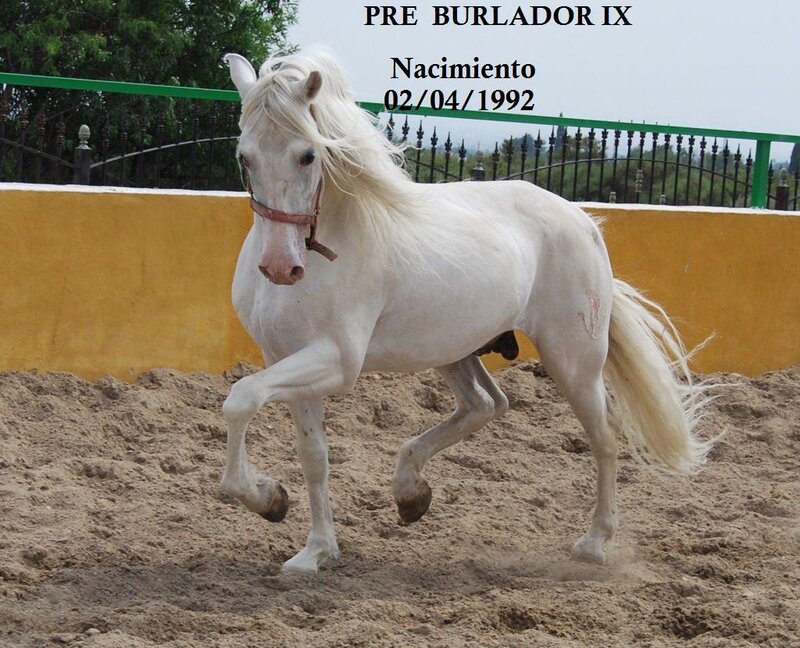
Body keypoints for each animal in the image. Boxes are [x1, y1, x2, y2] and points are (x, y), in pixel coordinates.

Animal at [219, 49, 712, 573]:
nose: (280, 267)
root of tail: (583, 221)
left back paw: (594, 542)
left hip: (574, 362)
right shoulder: (283, 358)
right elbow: (311, 453)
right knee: (486, 404)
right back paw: (410, 493)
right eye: (244, 156)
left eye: (308, 154)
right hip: (453, 350)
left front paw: (267, 499)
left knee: (604, 437)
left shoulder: (336, 360)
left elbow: (240, 399)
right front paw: (309, 544)